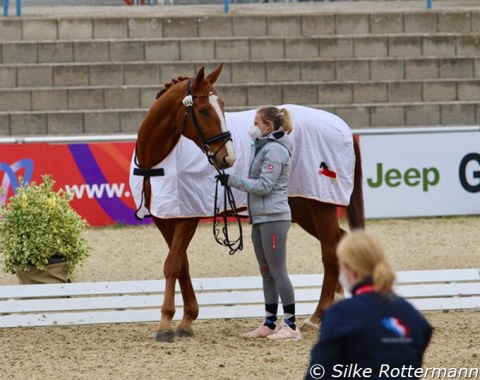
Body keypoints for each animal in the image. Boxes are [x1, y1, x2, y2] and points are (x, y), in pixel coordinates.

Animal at [131, 64, 364, 342]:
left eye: (221, 105)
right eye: (204, 109)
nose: (227, 157)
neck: (159, 157)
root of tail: (343, 128)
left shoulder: (188, 217)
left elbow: (172, 264)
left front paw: (165, 324)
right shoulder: (165, 217)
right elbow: (182, 265)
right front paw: (186, 320)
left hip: (321, 205)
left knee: (329, 250)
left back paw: (316, 318)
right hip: (303, 207)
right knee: (338, 242)